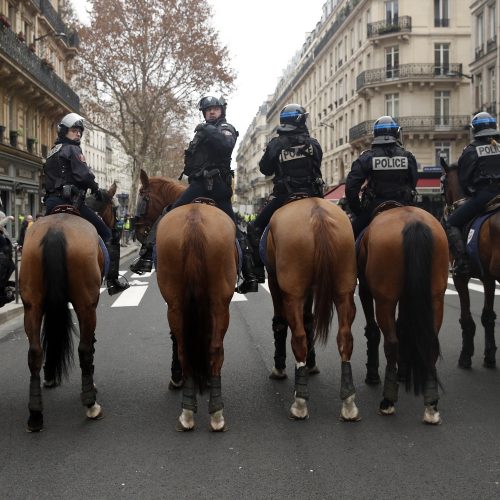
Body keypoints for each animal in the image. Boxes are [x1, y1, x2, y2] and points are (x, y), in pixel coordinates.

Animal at [19, 184, 116, 430]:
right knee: (84, 349)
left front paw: (50, 375)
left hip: (32, 305)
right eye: (114, 207)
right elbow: (90, 343)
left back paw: (35, 414)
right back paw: (91, 404)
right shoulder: (91, 304)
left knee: (35, 352)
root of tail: (56, 230)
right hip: (85, 303)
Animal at [266, 197, 360, 420]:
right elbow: (309, 320)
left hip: (292, 292)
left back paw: (300, 401)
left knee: (298, 337)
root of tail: (318, 214)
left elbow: (280, 323)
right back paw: (348, 401)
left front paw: (280, 367)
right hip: (344, 288)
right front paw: (311, 363)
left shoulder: (274, 281)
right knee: (345, 337)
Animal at [358, 205, 448, 424]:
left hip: (385, 299)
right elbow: (405, 328)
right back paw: (431, 403)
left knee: (391, 343)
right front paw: (404, 372)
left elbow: (373, 330)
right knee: (430, 341)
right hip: (435, 296)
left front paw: (373, 374)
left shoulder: (364, 289)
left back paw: (387, 401)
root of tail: (412, 221)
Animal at [444, 162, 498, 370]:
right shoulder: (488, 278)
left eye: (442, 182)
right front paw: (489, 355)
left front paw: (465, 356)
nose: (445, 212)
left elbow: (466, 318)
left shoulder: (459, 276)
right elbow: (487, 317)